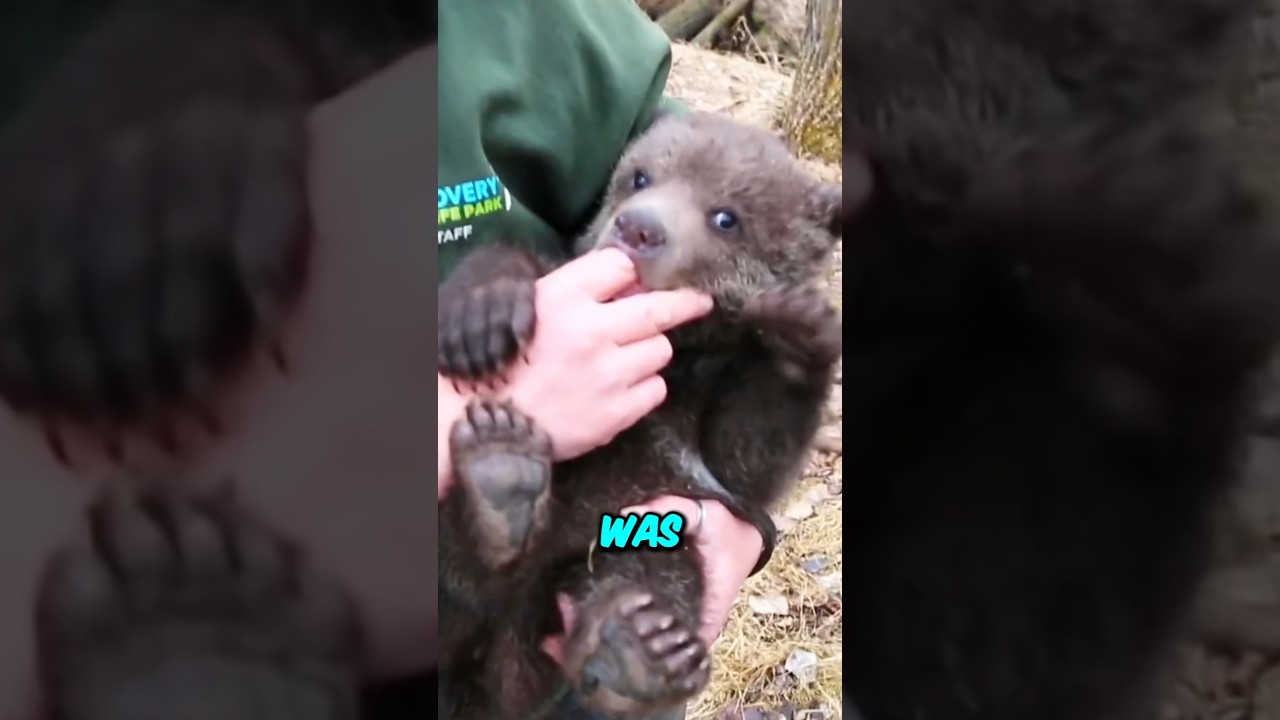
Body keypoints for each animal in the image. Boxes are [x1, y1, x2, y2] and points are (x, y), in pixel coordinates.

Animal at [434, 110, 845, 720]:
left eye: (727, 217)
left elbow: (750, 450)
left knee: (656, 570)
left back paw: (633, 650)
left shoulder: (713, 420)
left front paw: (799, 332)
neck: (676, 348)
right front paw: (481, 313)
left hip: (614, 546)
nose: (639, 228)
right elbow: (521, 264)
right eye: (641, 177)